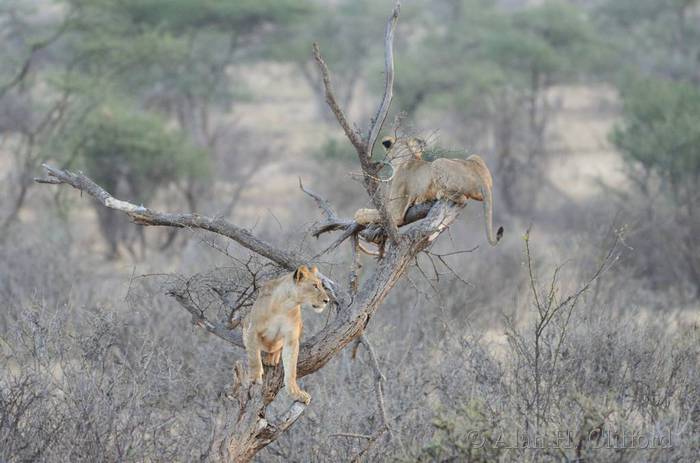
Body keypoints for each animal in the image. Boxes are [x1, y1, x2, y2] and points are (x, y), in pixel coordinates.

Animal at [242, 265, 329, 404]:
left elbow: (291, 369)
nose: (327, 300)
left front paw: (297, 393)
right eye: (315, 285)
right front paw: (255, 377)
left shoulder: (291, 338)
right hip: (246, 320)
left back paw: (272, 359)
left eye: (321, 285)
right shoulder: (253, 329)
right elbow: (254, 356)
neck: (286, 305)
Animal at [354, 136, 504, 246]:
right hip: (473, 157)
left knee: (462, 199)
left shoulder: (396, 212)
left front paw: (358, 215)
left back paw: (437, 194)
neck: (408, 156)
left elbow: (371, 213)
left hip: (438, 162)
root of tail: (482, 180)